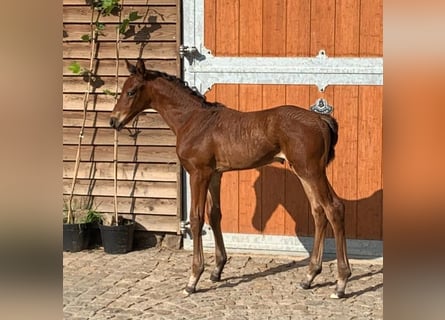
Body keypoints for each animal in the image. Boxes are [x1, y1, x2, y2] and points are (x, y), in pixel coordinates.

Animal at [110, 59, 350, 298]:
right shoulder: (215, 174)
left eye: (131, 91)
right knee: (319, 212)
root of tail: (320, 118)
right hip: (304, 172)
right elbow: (215, 214)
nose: (113, 121)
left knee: (334, 208)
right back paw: (310, 276)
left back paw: (341, 283)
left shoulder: (198, 173)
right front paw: (217, 269)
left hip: (311, 171)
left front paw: (193, 278)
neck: (193, 120)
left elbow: (196, 218)